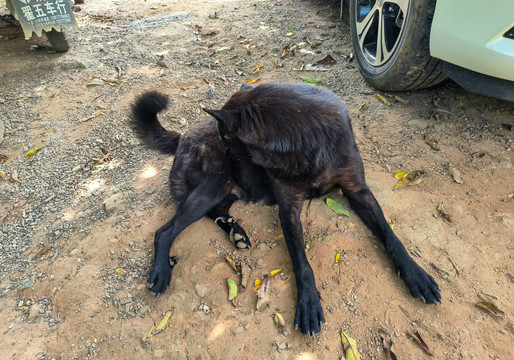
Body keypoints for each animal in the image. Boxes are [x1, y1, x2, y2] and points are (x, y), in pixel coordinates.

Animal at [130, 83, 438, 336]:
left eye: (225, 137)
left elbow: (390, 235)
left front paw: (416, 274)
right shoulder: (289, 209)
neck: (308, 138)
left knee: (215, 212)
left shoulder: (358, 191)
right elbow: (301, 262)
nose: (217, 145)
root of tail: (182, 136)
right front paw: (309, 303)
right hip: (214, 183)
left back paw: (236, 233)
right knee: (165, 231)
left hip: (223, 188)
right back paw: (161, 271)